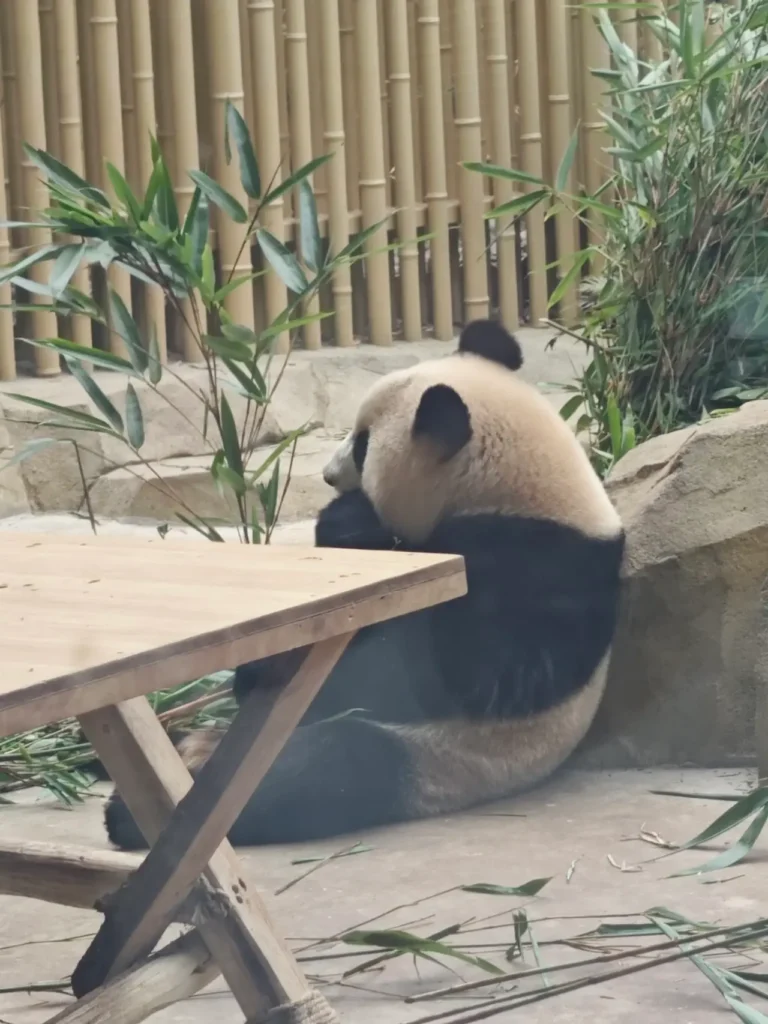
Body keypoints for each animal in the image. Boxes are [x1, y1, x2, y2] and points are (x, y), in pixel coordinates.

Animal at [104, 319, 625, 850]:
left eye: (362, 445)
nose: (328, 476)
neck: (515, 491)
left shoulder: (536, 571)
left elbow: (445, 671)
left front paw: (347, 520)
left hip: (441, 757)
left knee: (322, 772)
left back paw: (130, 814)